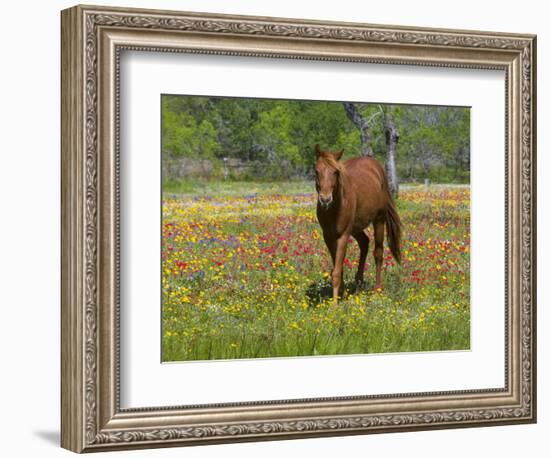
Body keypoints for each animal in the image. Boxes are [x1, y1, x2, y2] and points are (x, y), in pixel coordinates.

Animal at [316, 143, 404, 300]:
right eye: (316, 171)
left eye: (335, 172)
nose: (325, 199)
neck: (335, 208)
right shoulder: (328, 237)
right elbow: (338, 269)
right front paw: (342, 295)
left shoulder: (343, 236)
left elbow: (336, 272)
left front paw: (334, 304)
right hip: (356, 228)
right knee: (364, 243)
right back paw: (358, 286)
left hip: (378, 220)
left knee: (378, 252)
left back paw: (377, 290)